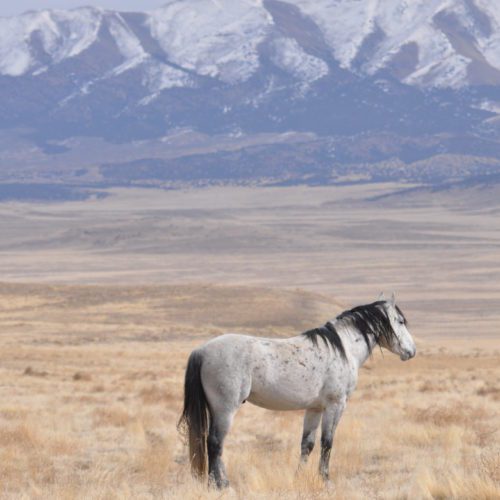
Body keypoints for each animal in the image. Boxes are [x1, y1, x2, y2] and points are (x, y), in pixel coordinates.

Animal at [178, 292, 416, 488]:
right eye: (400, 321)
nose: (411, 351)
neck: (342, 349)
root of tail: (202, 350)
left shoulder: (315, 408)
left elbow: (307, 445)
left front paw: (299, 477)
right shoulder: (335, 405)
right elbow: (327, 442)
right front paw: (325, 480)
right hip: (225, 410)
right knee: (214, 444)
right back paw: (219, 485)